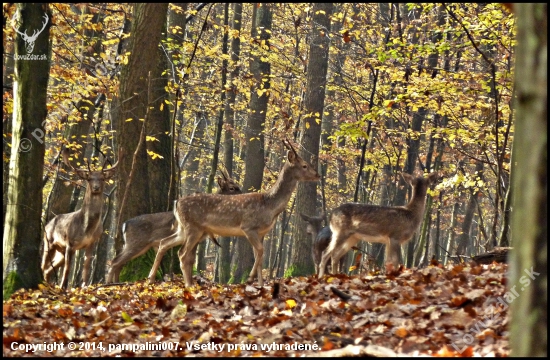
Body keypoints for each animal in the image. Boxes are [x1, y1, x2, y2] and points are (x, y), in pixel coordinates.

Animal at [41, 148, 121, 288]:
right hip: (49, 242)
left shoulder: (91, 243)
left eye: (102, 178)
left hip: (60, 250)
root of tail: (47, 223)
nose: (96, 187)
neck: (86, 229)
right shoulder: (70, 243)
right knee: (43, 266)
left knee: (48, 269)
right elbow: (67, 269)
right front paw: (63, 287)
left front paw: (84, 286)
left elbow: (86, 267)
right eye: (89, 179)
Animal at [108, 169, 242, 284]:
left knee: (120, 262)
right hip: (136, 243)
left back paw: (119, 281)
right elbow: (190, 258)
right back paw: (110, 282)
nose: (242, 194)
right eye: (232, 188)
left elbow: (191, 258)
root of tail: (125, 224)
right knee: (115, 261)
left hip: (138, 245)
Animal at [150, 141, 324, 286]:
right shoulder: (249, 227)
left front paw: (260, 285)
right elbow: (260, 251)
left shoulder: (262, 233)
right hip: (193, 227)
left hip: (184, 229)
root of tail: (176, 202)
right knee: (183, 254)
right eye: (304, 165)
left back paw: (151, 278)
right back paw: (188, 285)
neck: (270, 206)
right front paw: (250, 278)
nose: (318, 175)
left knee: (164, 242)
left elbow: (260, 256)